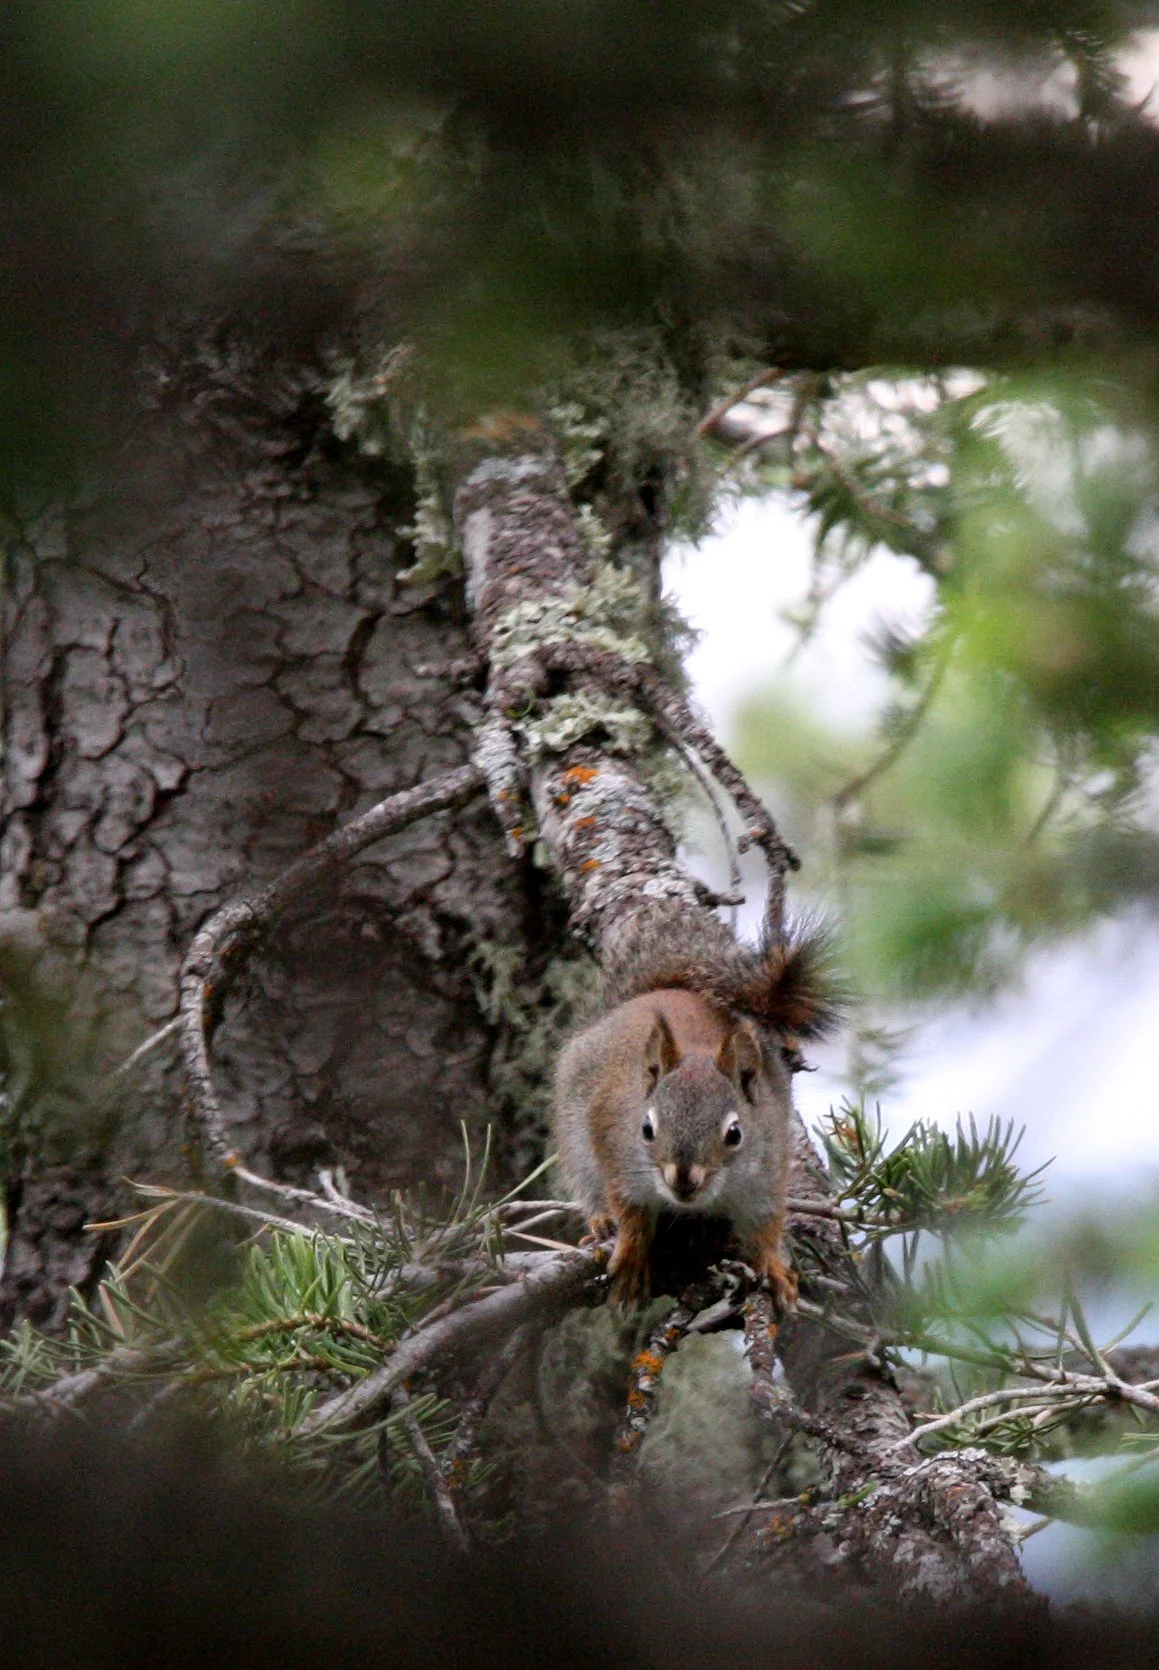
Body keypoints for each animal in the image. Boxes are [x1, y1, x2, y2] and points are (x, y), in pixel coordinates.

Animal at [552, 907, 840, 1311]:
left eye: (735, 1133)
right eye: (646, 1129)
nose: (684, 1180)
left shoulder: (767, 1168)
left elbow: (764, 1226)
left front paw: (775, 1268)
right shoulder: (618, 1150)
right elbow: (632, 1213)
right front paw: (630, 1259)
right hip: (576, 1137)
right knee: (589, 1186)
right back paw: (601, 1221)